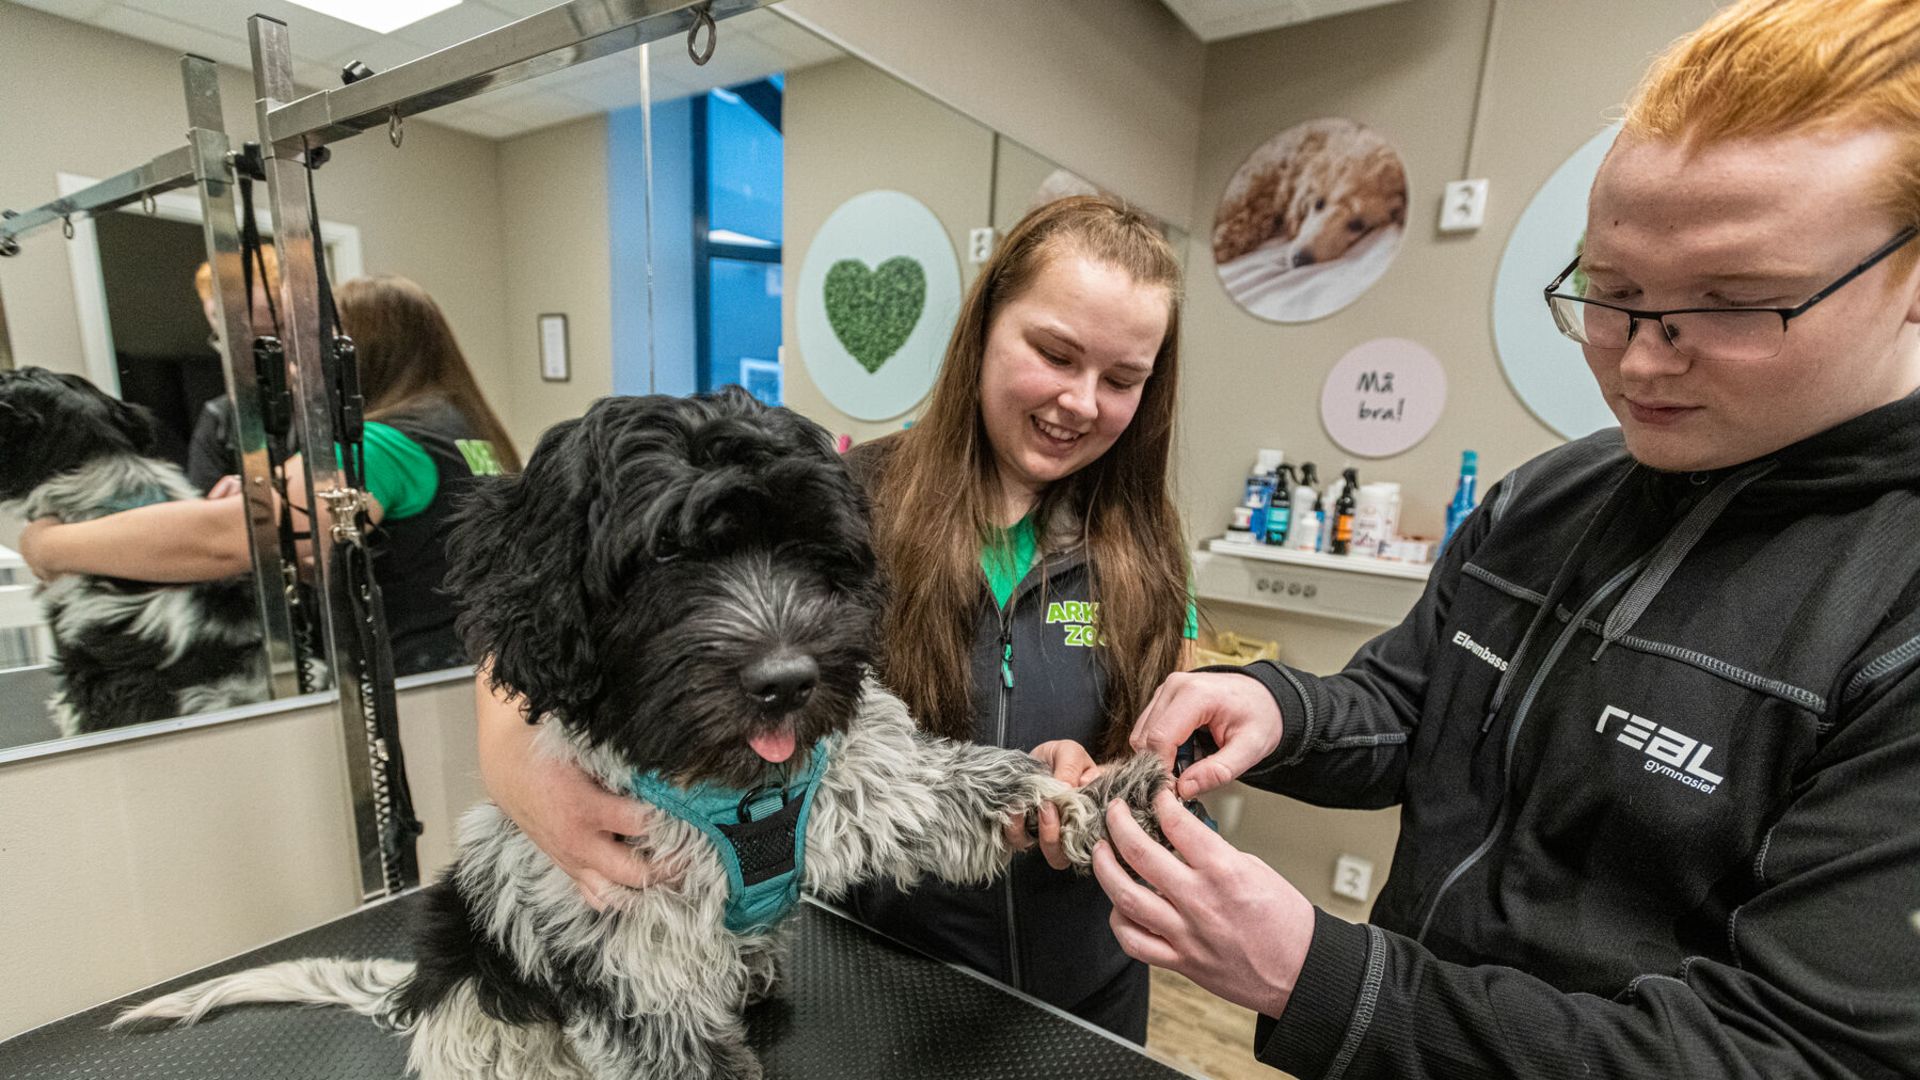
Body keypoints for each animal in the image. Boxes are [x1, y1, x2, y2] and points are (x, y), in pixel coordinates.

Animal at [123, 388, 1167, 1076]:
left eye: (808, 549)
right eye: (667, 557)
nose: (787, 682)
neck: (731, 786)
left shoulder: (865, 783)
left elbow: (977, 784)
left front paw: (1097, 796)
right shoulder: (633, 971)